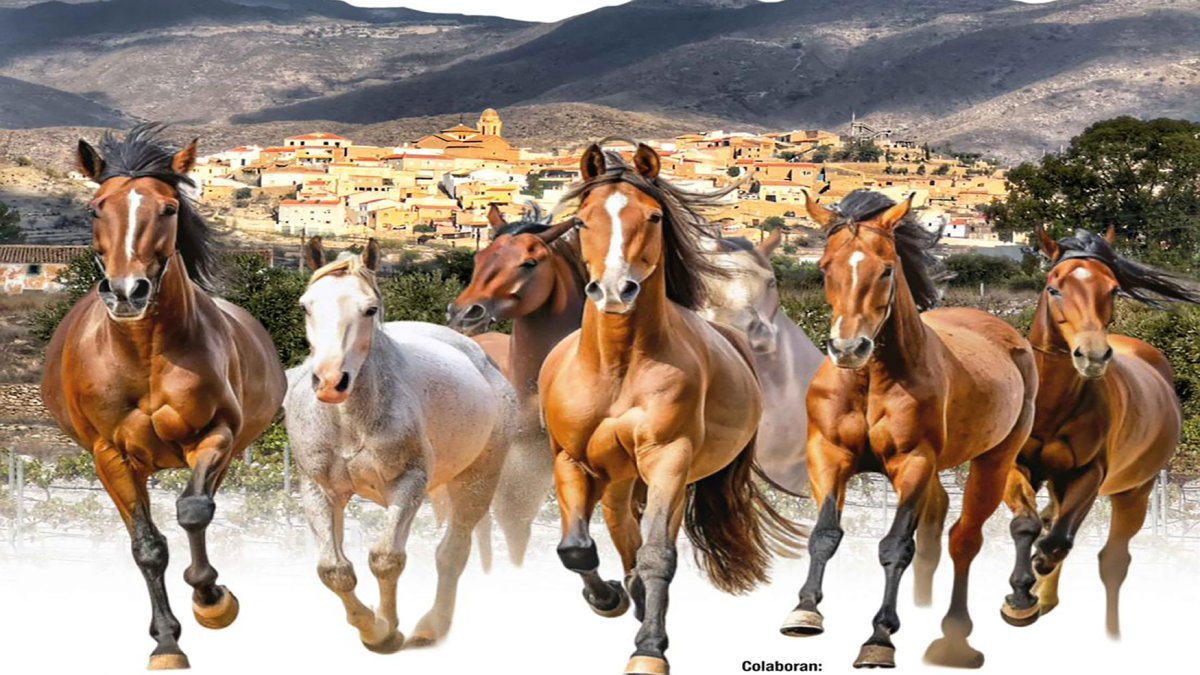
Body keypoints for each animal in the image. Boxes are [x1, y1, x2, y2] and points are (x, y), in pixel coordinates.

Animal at [40, 123, 286, 669]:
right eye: (96, 208)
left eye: (170, 208)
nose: (127, 291)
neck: (144, 352)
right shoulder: (109, 454)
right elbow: (148, 547)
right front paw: (168, 644)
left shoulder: (215, 433)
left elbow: (194, 511)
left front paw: (212, 600)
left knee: (201, 506)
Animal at [283, 237, 517, 653]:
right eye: (306, 305)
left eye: (369, 309)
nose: (330, 382)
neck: (350, 419)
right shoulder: (319, 490)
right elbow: (334, 569)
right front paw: (371, 624)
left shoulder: (408, 486)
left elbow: (386, 559)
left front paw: (384, 632)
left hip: (476, 483)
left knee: (452, 553)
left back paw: (431, 628)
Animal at [539, 142, 806, 675]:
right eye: (581, 221)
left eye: (655, 216)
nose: (614, 290)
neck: (617, 367)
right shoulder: (570, 459)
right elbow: (576, 549)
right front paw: (608, 599)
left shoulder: (669, 458)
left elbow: (658, 554)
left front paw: (649, 648)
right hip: (617, 476)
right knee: (620, 526)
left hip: (671, 476)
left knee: (640, 537)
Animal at [780, 189, 1038, 669]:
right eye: (824, 266)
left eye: (886, 269)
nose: (849, 348)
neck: (869, 380)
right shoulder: (828, 456)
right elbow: (824, 534)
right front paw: (804, 611)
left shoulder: (912, 463)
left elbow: (895, 545)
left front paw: (880, 637)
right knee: (941, 536)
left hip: (992, 462)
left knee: (965, 538)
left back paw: (962, 630)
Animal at [999, 227, 1197, 636]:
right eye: (1054, 288)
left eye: (1113, 289)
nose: (1092, 355)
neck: (1052, 405)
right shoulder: (1018, 465)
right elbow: (1026, 524)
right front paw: (1020, 600)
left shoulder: (1088, 475)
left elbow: (1057, 541)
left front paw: (1036, 575)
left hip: (1134, 492)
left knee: (1113, 560)